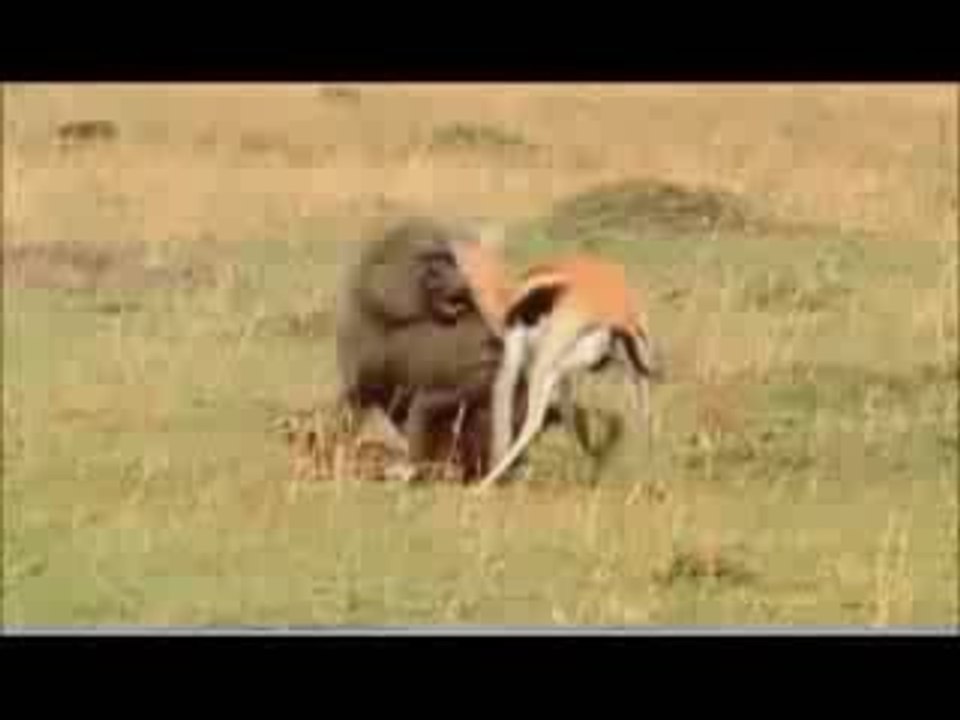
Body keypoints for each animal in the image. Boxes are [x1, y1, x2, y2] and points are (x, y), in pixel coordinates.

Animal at [473, 253, 665, 492]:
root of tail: (619, 310)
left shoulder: (514, 354)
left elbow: (501, 397)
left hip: (548, 363)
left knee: (534, 420)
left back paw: (482, 485)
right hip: (626, 366)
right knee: (646, 415)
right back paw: (649, 482)